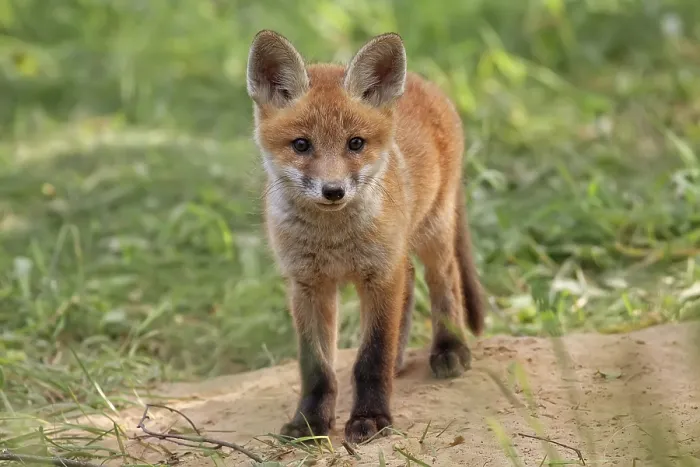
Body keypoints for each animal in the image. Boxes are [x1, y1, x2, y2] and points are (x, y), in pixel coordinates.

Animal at [245, 30, 485, 443]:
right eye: (301, 145)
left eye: (355, 143)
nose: (333, 191)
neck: (333, 241)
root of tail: (425, 83)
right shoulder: (307, 285)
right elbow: (317, 369)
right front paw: (309, 423)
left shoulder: (380, 275)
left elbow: (371, 358)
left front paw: (371, 418)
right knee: (411, 286)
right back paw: (401, 360)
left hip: (433, 231)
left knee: (445, 281)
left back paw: (449, 348)